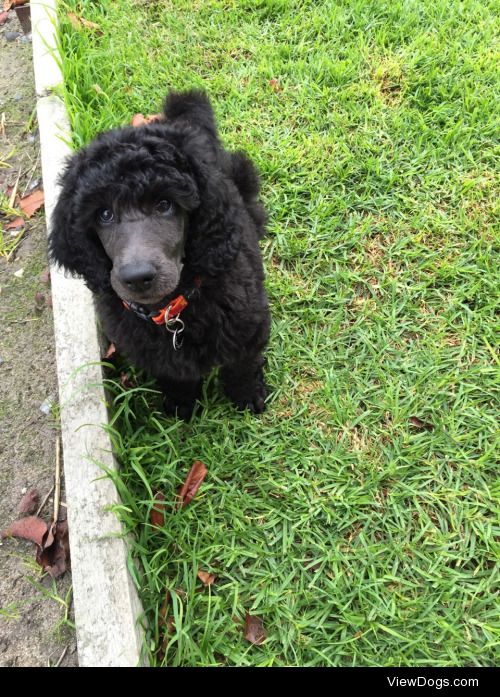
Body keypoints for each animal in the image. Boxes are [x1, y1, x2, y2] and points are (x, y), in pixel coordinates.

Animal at [48, 92, 272, 418]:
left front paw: (248, 396)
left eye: (165, 205)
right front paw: (180, 405)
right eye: (104, 214)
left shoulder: (247, 325)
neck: (169, 313)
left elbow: (242, 365)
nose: (137, 277)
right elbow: (174, 375)